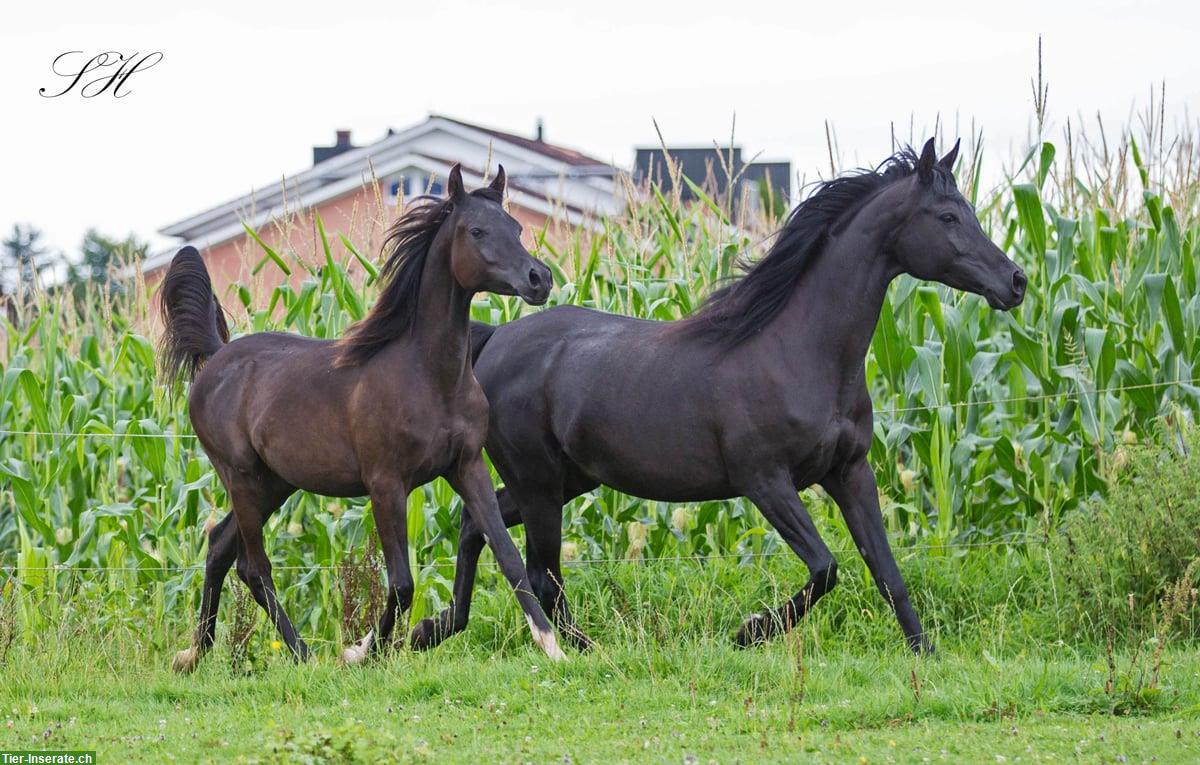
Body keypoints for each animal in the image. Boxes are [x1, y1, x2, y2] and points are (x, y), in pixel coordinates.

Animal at [160, 163, 566, 671]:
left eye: (516, 228)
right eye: (477, 230)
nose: (539, 278)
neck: (428, 376)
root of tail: (216, 357)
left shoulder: (467, 468)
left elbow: (509, 558)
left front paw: (553, 646)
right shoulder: (385, 484)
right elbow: (403, 581)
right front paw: (362, 650)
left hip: (274, 483)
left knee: (218, 546)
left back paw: (195, 653)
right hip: (241, 478)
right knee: (253, 566)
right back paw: (304, 656)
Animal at [410, 137, 1022, 652]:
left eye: (969, 210)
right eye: (947, 216)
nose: (1014, 282)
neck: (799, 351)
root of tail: (495, 339)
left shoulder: (850, 472)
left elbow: (887, 571)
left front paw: (926, 655)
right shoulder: (765, 481)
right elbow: (826, 568)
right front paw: (749, 632)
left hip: (564, 479)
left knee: (476, 527)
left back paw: (432, 630)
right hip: (539, 483)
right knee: (539, 570)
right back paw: (581, 651)